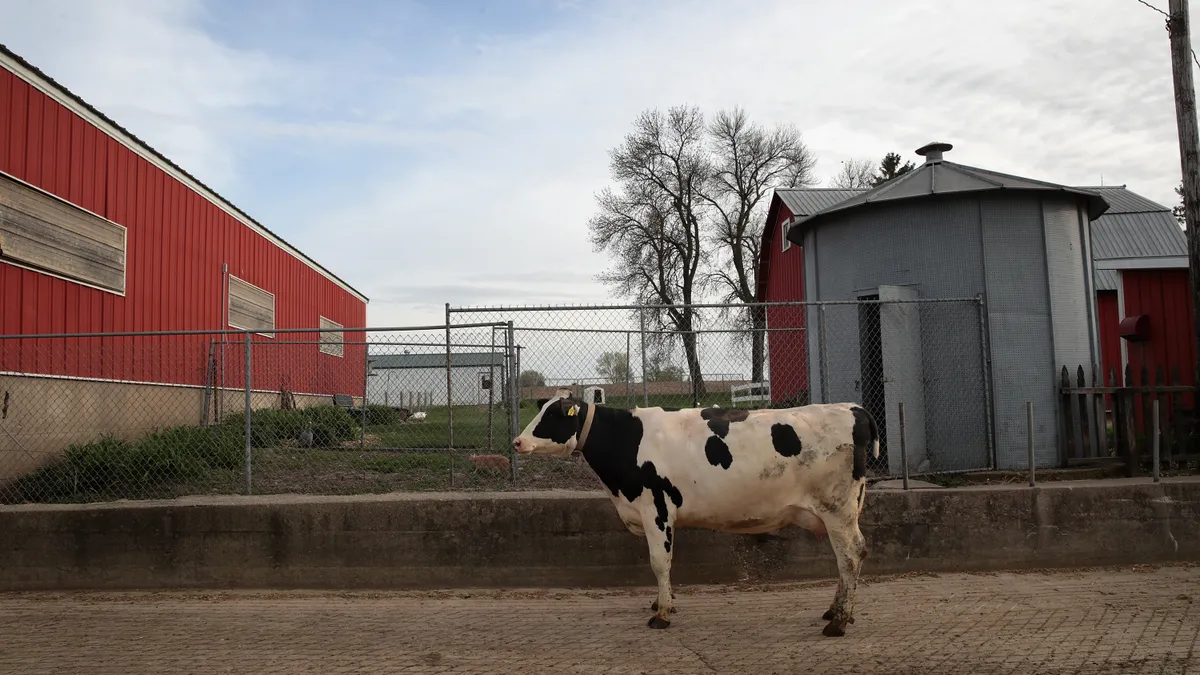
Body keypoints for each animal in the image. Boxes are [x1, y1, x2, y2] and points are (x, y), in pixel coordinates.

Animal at [511, 386, 878, 634]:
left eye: (550, 416)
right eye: (540, 411)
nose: (517, 441)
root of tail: (853, 408)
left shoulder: (656, 508)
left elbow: (660, 562)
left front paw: (662, 613)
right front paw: (664, 603)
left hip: (837, 508)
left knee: (850, 556)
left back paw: (839, 621)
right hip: (841, 511)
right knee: (845, 559)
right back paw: (835, 611)